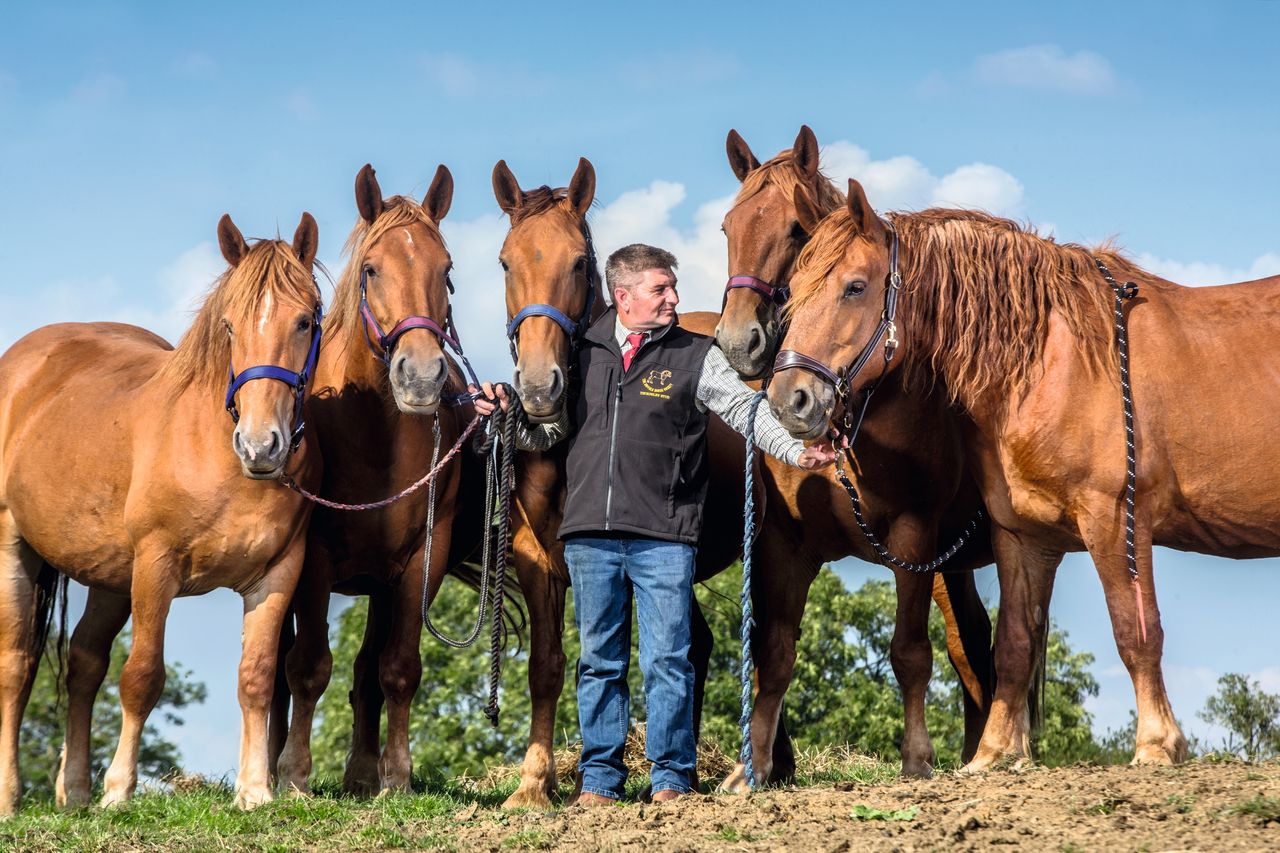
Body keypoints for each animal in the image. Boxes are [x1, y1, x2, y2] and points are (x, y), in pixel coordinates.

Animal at [1, 213, 320, 809]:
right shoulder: (155, 567)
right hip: (16, 547)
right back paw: (11, 795)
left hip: (108, 575)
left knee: (84, 663)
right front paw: (118, 792)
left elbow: (258, 676)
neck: (215, 452)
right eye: (229, 326)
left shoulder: (278, 573)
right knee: (16, 664)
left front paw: (255, 790)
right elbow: (142, 678)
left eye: (306, 321)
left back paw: (74, 790)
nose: (260, 446)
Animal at [273, 167, 476, 799]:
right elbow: (308, 667)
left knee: (367, 669)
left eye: (448, 269)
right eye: (371, 269)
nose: (422, 376)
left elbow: (397, 669)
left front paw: (397, 778)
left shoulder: (421, 562)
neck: (372, 433)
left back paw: (363, 772)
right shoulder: (313, 560)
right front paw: (293, 775)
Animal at [716, 122, 993, 778]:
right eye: (728, 229)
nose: (739, 344)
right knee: (975, 647)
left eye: (797, 230)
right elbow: (775, 653)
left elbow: (910, 652)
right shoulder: (784, 543)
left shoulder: (914, 540)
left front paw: (916, 760)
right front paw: (752, 767)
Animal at [768, 178, 1280, 763]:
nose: (789, 401)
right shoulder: (1023, 535)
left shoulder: (1115, 521)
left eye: (854, 287)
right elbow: (1013, 644)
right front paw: (993, 752)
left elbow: (1136, 631)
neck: (1054, 362)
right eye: (793, 289)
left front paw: (1156, 744)